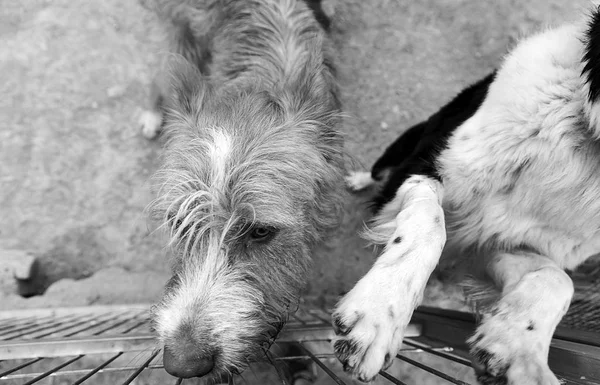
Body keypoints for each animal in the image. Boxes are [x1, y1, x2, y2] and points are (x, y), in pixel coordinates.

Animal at [332, 6, 600, 384]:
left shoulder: (491, 245)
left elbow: (559, 280)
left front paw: (517, 346)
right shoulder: (423, 166)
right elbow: (432, 223)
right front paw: (380, 312)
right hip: (405, 141)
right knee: (378, 171)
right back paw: (356, 180)